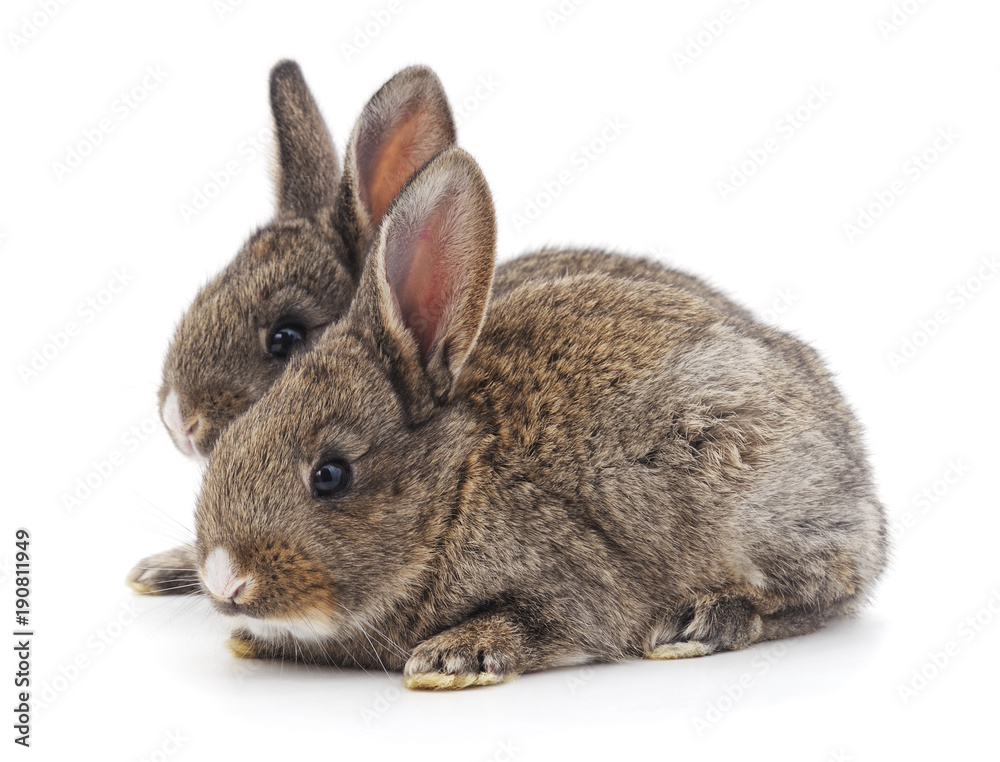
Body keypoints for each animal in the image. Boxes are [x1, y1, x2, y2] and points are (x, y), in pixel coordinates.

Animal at [186, 147, 887, 690]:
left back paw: (701, 625)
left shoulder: (574, 585)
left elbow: (552, 622)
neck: (455, 491)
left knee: (820, 592)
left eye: (329, 475)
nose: (224, 579)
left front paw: (452, 659)